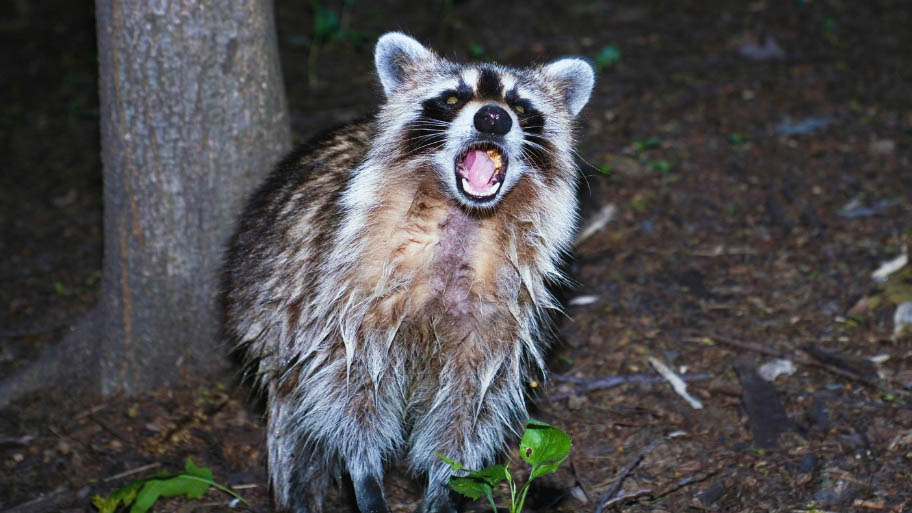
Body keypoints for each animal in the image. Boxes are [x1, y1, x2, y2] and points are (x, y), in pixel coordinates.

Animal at [224, 33, 596, 512]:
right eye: (453, 98)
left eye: (520, 104)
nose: (493, 117)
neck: (465, 216)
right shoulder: (347, 289)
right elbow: (346, 387)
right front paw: (363, 471)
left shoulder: (505, 311)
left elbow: (471, 408)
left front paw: (446, 485)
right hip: (267, 303)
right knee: (293, 418)